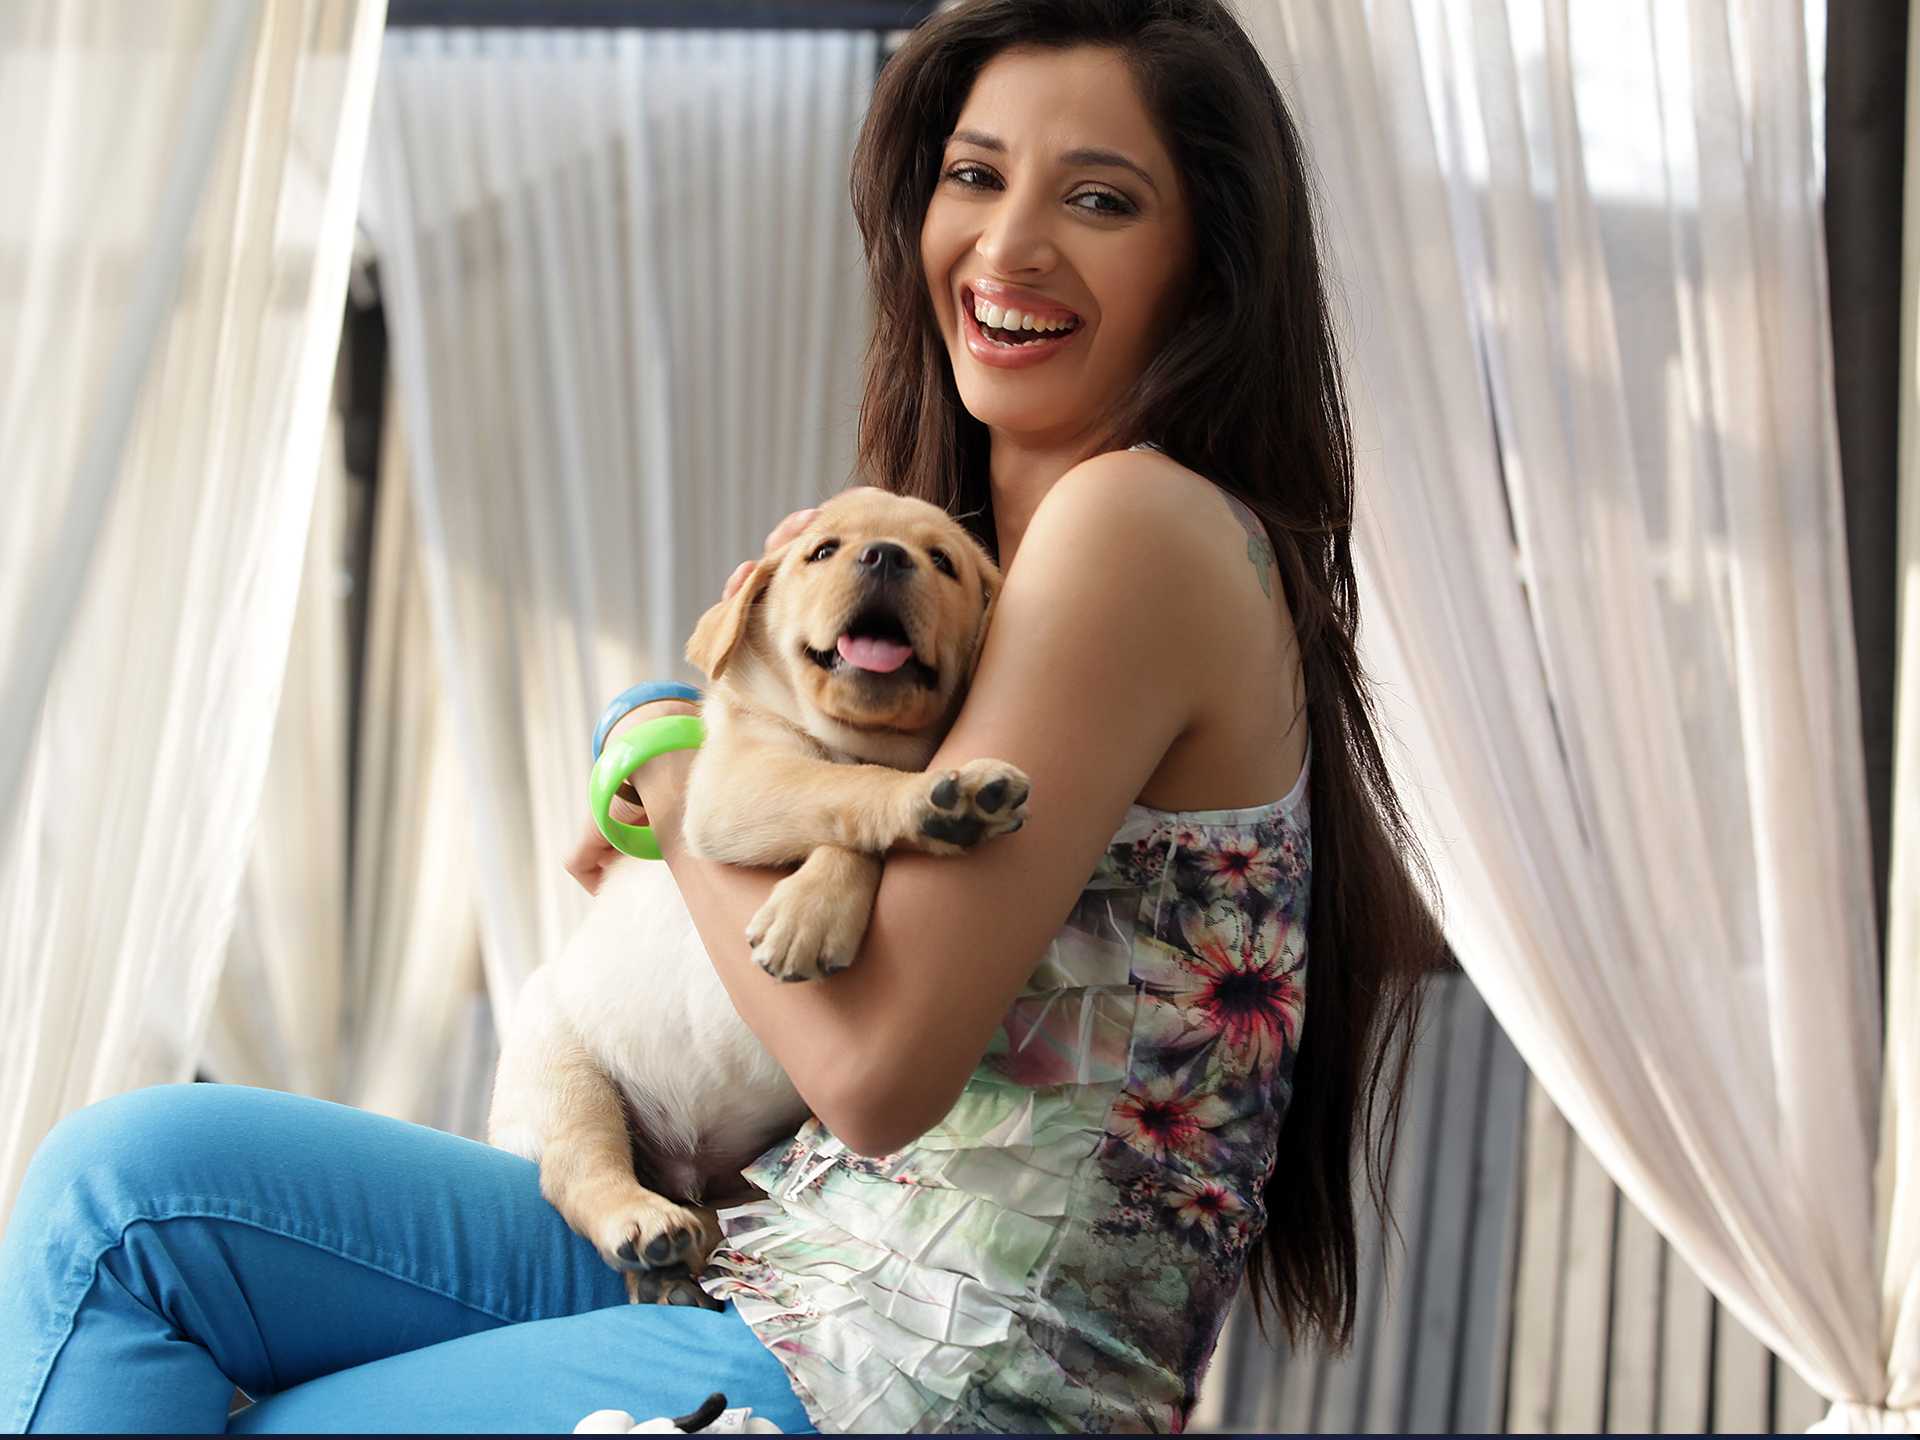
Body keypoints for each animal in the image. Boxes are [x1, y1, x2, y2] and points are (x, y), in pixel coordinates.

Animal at [487, 488, 1032, 1307]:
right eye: (822, 551)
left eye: (943, 562)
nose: (885, 556)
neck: (854, 736)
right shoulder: (734, 784)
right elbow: (849, 787)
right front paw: (944, 800)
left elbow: (846, 807)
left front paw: (816, 905)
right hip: (561, 1067)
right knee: (580, 1168)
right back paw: (645, 1228)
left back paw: (673, 1273)